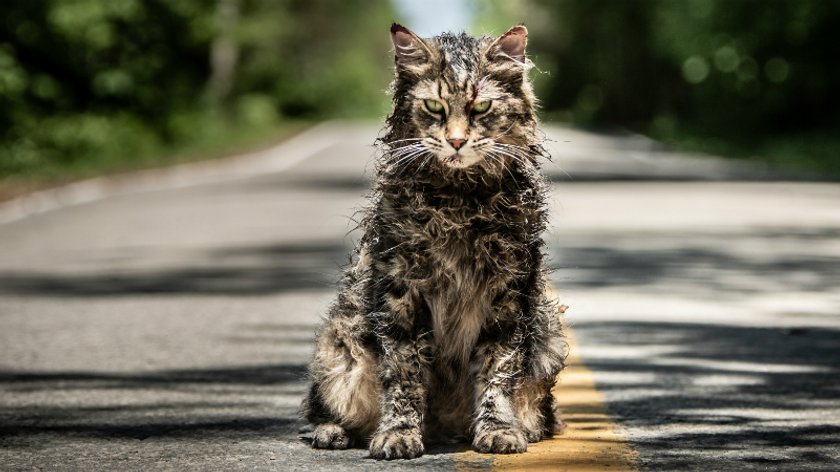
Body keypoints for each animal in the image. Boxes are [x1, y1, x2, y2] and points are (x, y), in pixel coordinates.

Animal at [298, 24, 568, 460]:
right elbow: (404, 375)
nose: (456, 141)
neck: (459, 202)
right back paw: (333, 432)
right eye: (434, 107)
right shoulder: (401, 292)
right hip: (339, 345)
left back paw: (517, 428)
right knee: (322, 407)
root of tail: (444, 428)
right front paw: (399, 435)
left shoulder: (508, 294)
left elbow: (498, 370)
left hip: (549, 334)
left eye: (480, 108)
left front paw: (498, 429)